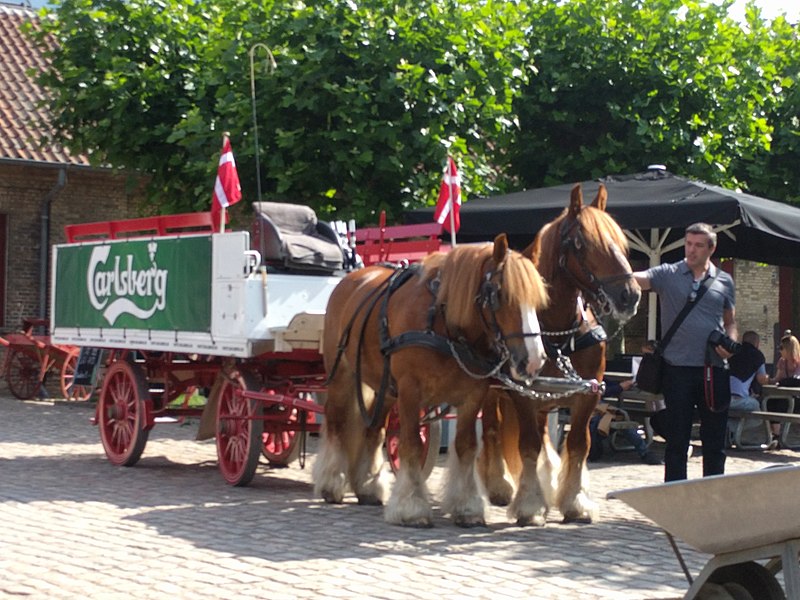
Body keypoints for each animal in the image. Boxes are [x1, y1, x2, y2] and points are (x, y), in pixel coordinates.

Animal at [312, 234, 552, 524]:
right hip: (343, 377)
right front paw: (411, 507)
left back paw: (368, 487)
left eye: (538, 302)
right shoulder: (410, 391)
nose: (534, 360)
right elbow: (412, 445)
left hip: (385, 387)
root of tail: (350, 278)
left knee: (374, 430)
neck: (443, 324)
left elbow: (466, 446)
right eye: (500, 295)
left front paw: (467, 507)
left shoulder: (472, 396)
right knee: (336, 423)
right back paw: (331, 483)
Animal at [478, 183, 640, 524]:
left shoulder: (588, 393)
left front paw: (574, 502)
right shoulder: (523, 395)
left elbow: (579, 444)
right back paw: (500, 485)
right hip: (491, 392)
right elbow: (527, 445)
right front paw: (529, 505)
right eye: (582, 243)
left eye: (621, 243)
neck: (556, 333)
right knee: (493, 430)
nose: (629, 295)